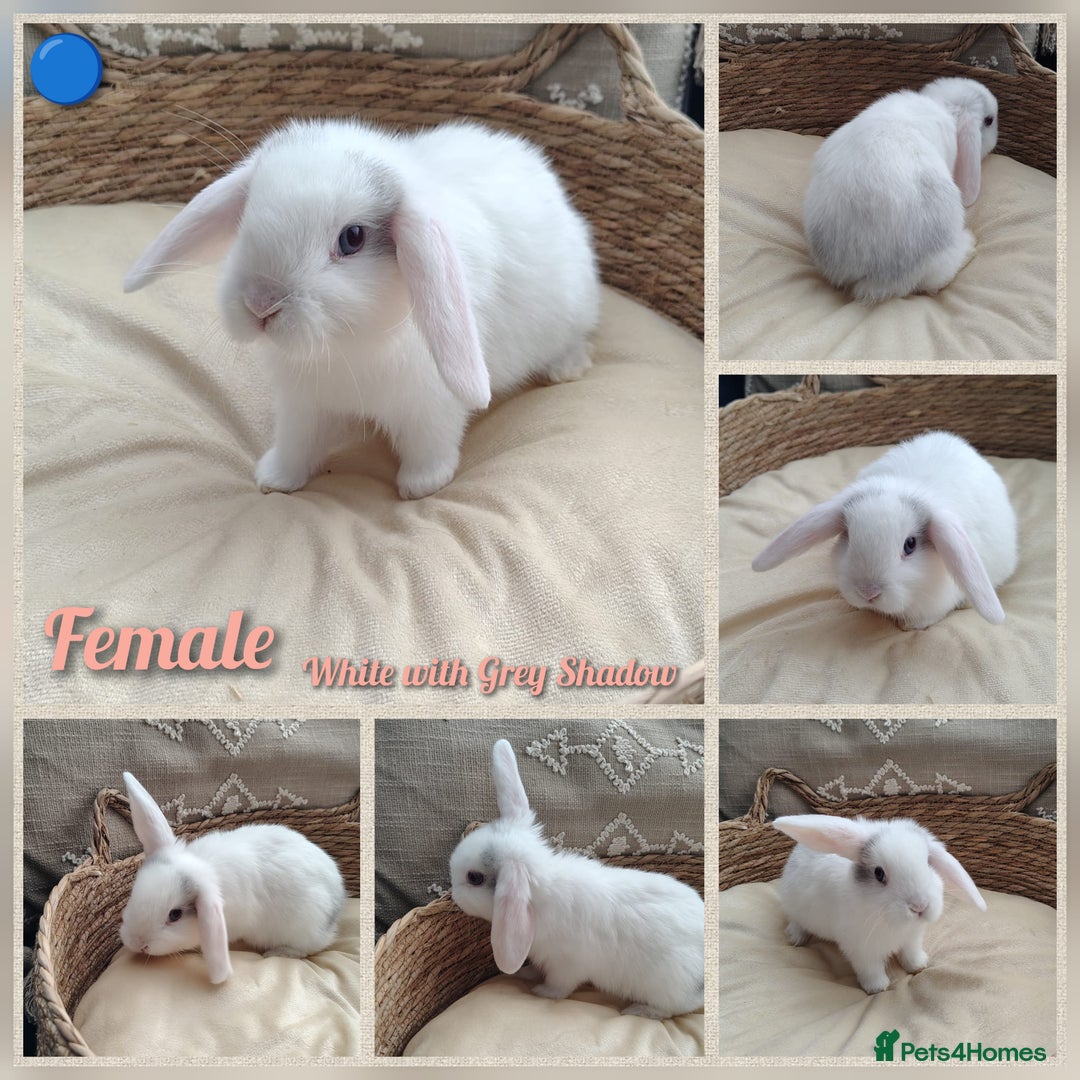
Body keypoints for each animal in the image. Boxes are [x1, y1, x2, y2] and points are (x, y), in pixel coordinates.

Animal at [118, 771, 347, 984]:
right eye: (134, 891)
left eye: (175, 915)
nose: (135, 943)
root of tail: (338, 902)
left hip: (302, 929)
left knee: (308, 948)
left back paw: (277, 952)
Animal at [124, 118, 601, 498]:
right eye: (246, 218)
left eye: (352, 238)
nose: (260, 304)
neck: (346, 345)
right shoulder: (302, 406)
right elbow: (296, 444)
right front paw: (274, 479)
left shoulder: (430, 405)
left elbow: (430, 445)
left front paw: (421, 486)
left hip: (574, 311)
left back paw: (567, 369)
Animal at [448, 739, 705, 1019]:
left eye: (474, 877)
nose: (453, 895)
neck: (538, 897)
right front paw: (527, 973)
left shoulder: (565, 965)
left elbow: (559, 986)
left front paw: (541, 992)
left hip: (666, 986)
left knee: (675, 1008)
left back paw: (638, 1010)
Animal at [773, 814, 986, 994]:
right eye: (879, 873)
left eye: (928, 862)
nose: (919, 907)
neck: (896, 924)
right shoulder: (861, 949)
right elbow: (871, 969)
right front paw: (877, 987)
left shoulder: (912, 939)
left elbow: (910, 953)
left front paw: (918, 965)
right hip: (795, 907)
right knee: (795, 921)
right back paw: (796, 938)